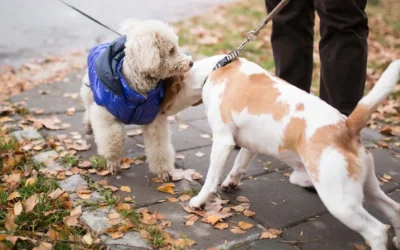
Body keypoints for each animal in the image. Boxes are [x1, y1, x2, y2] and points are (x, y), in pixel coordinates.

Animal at [167, 56, 400, 250]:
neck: (216, 69)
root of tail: (346, 126)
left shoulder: (223, 141)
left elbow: (211, 179)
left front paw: (199, 201)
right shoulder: (250, 145)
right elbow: (239, 165)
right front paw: (230, 184)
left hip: (341, 202)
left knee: (377, 231)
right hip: (368, 189)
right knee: (394, 209)